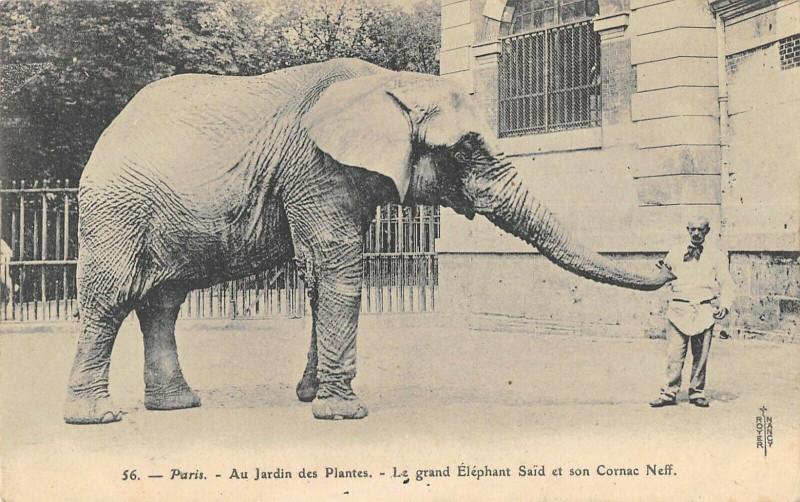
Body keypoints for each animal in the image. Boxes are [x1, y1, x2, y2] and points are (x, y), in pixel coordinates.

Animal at [64, 58, 675, 424]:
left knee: (162, 303)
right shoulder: (316, 168)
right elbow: (340, 274)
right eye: (466, 148)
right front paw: (344, 414)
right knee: (111, 297)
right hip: (116, 209)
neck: (391, 81)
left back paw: (178, 406)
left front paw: (312, 398)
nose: (670, 263)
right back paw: (97, 417)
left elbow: (321, 279)